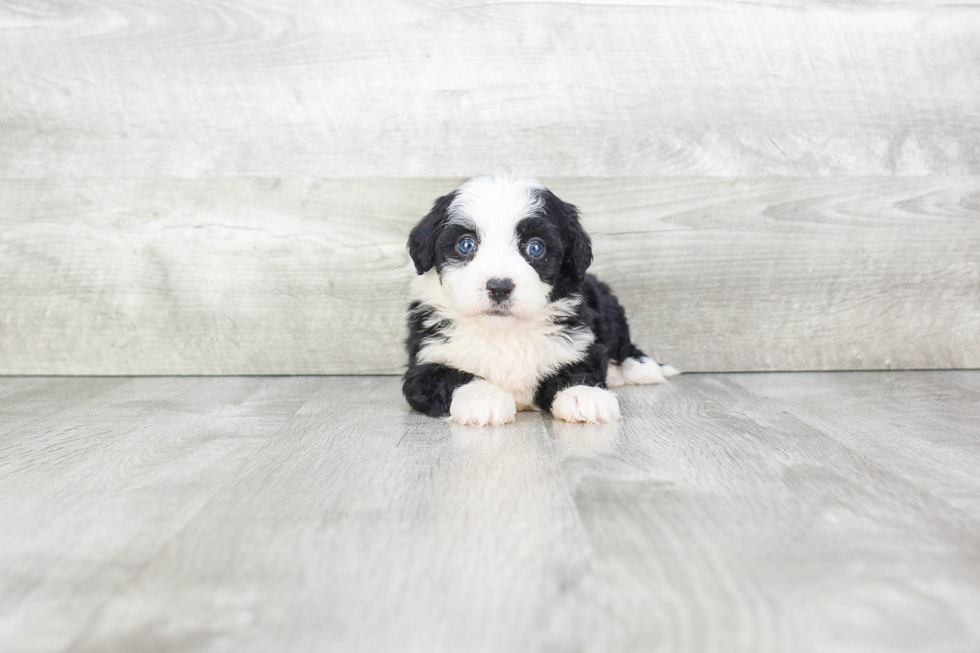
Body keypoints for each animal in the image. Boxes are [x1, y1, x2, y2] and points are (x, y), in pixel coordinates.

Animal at [402, 171, 676, 426]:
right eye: (466, 244)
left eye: (535, 247)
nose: (499, 287)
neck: (504, 333)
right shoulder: (425, 361)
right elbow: (450, 376)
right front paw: (483, 397)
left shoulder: (576, 341)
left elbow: (580, 367)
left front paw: (584, 395)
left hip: (609, 309)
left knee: (624, 346)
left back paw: (640, 368)